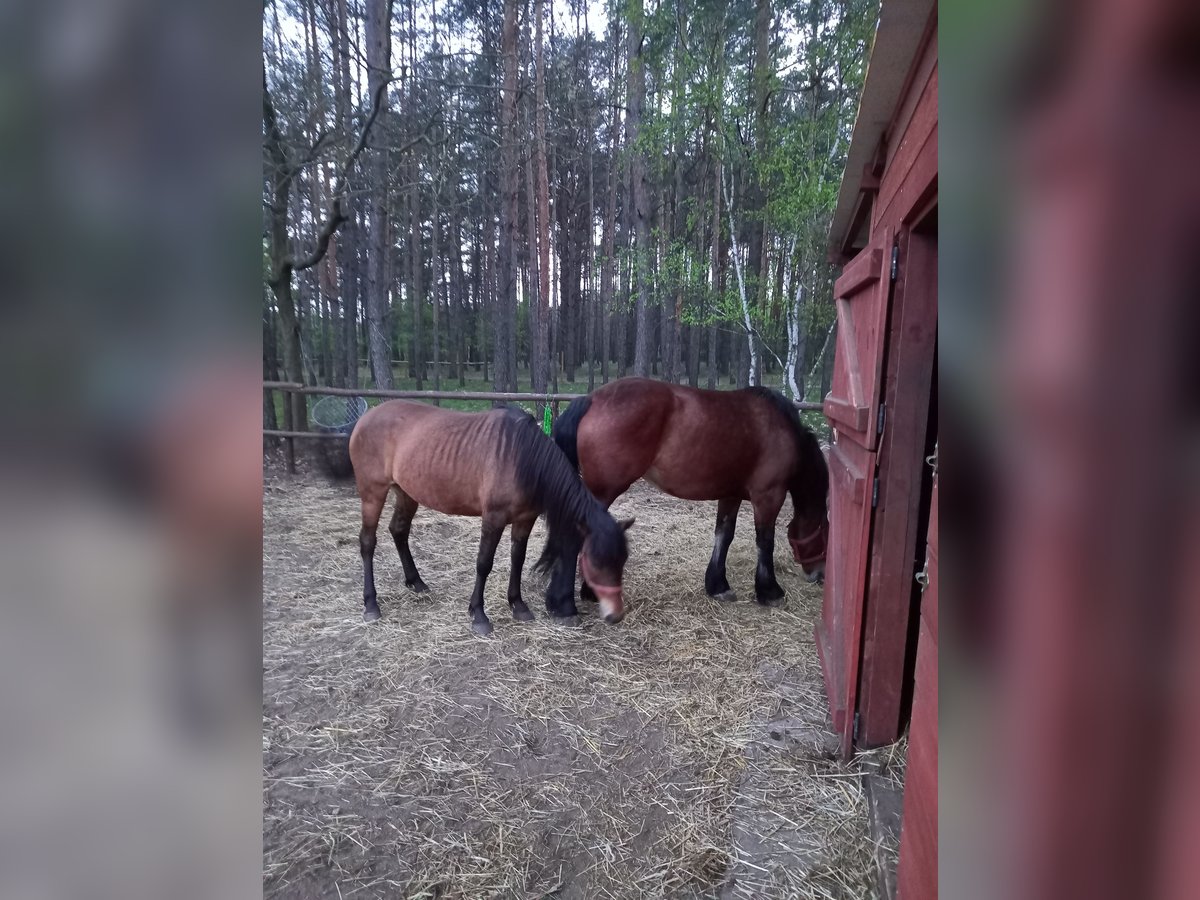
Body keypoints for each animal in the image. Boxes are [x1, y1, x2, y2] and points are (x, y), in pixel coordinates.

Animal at [348, 400, 633, 633]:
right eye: (594, 562)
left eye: (622, 561)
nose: (616, 615)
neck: (523, 457)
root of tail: (366, 417)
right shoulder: (493, 519)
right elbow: (484, 563)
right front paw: (479, 615)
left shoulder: (524, 519)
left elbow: (518, 559)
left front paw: (518, 605)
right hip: (373, 493)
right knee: (367, 542)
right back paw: (371, 604)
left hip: (406, 493)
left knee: (399, 530)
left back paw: (416, 582)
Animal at [540, 376, 830, 609]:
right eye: (825, 533)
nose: (820, 575)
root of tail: (591, 399)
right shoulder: (768, 496)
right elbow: (765, 542)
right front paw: (770, 592)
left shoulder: (731, 494)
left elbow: (724, 534)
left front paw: (718, 585)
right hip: (602, 491)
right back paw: (566, 603)